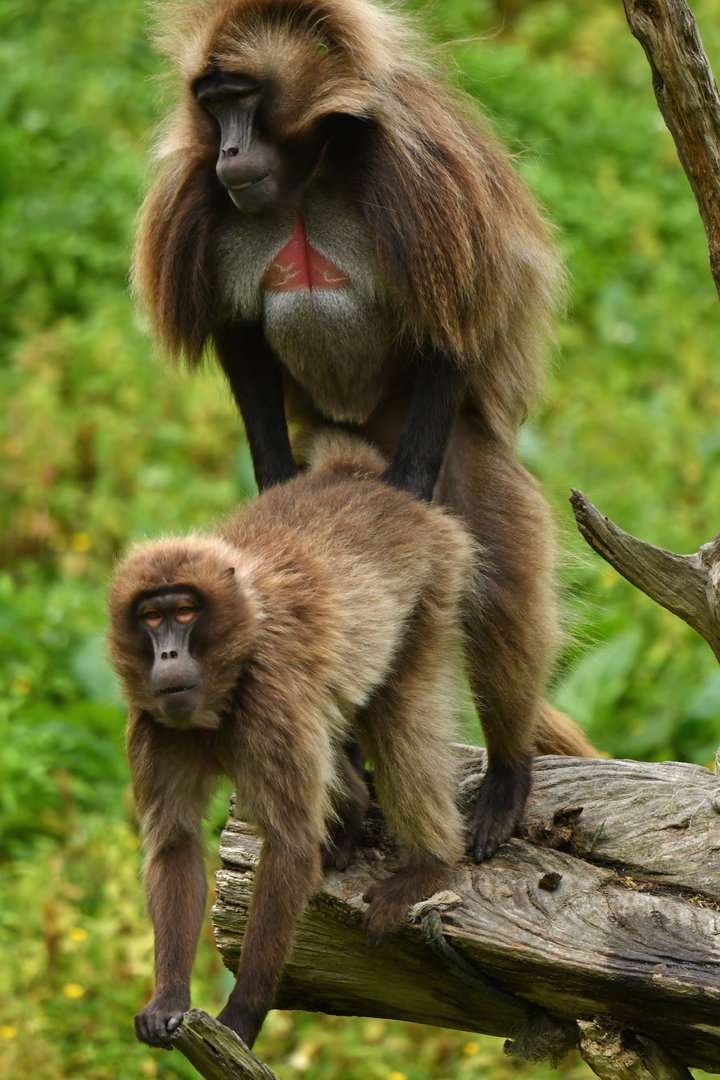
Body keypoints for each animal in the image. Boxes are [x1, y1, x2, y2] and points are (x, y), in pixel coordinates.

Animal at [108, 434, 476, 1050]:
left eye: (183, 611)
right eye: (150, 617)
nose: (168, 654)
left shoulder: (270, 696)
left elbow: (289, 845)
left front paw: (240, 1016)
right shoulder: (152, 724)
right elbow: (176, 844)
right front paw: (169, 998)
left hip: (434, 580)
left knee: (399, 709)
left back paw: (430, 863)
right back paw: (352, 812)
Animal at [133, 0, 599, 863]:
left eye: (242, 97)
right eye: (212, 104)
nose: (231, 151)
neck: (305, 177)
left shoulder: (418, 177)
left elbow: (448, 321)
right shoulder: (206, 205)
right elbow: (241, 334)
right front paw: (273, 479)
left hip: (463, 451)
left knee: (498, 586)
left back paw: (507, 774)